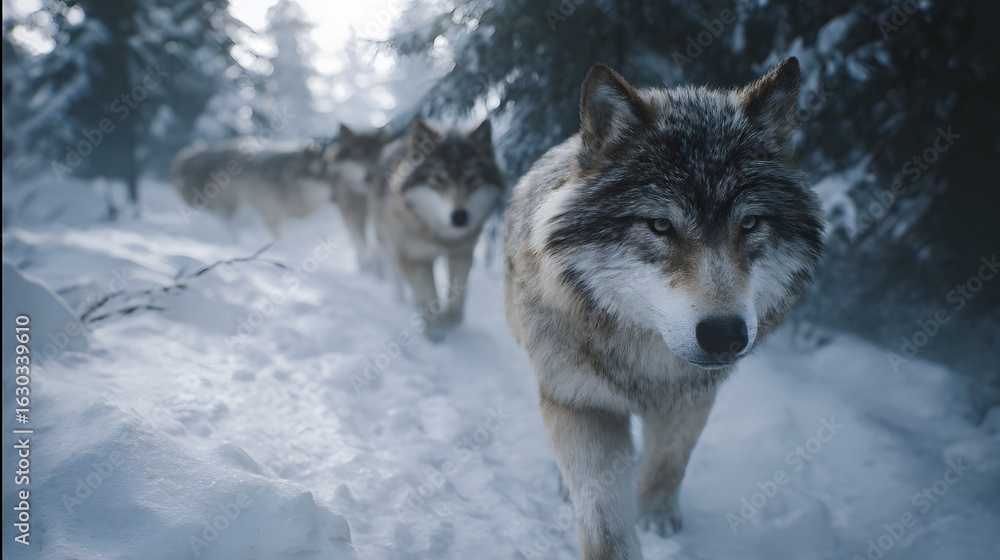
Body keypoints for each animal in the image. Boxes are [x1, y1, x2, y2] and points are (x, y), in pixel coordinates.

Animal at [171, 137, 335, 234]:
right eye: (315, 173)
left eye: (329, 177)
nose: (332, 196)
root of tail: (182, 159)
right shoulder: (271, 215)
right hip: (226, 206)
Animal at [370, 117, 504, 341]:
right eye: (439, 181)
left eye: (472, 179)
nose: (460, 216)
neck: (440, 237)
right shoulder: (415, 258)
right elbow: (428, 296)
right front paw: (436, 333)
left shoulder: (462, 253)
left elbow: (456, 296)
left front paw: (453, 325)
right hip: (387, 245)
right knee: (397, 278)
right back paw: (400, 301)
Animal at [503, 57, 824, 559]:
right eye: (659, 225)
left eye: (750, 223)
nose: (724, 336)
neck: (648, 365)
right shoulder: (582, 404)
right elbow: (603, 520)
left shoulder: (692, 398)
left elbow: (667, 466)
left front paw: (656, 519)